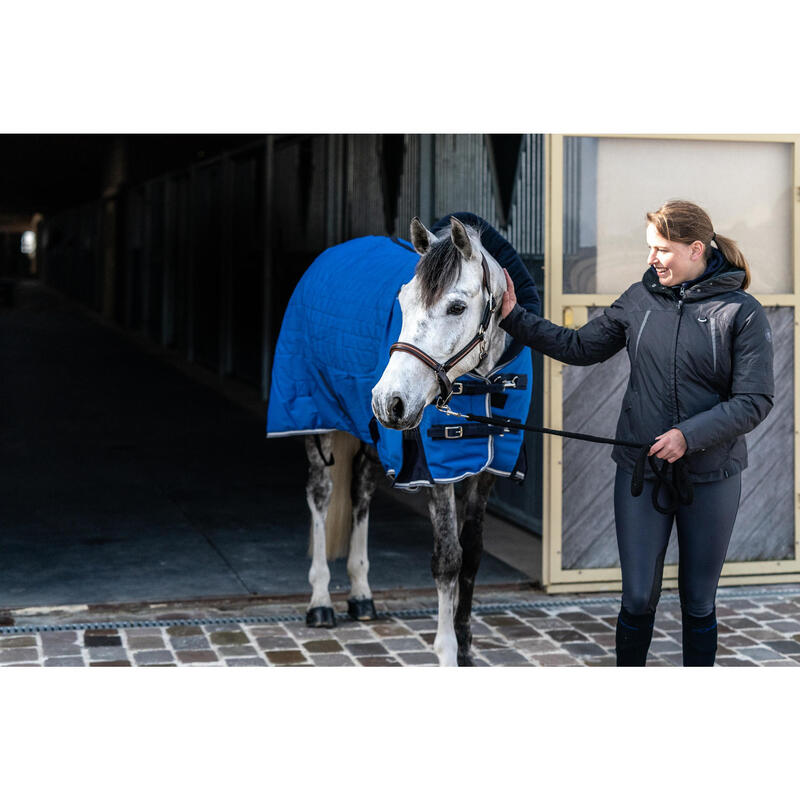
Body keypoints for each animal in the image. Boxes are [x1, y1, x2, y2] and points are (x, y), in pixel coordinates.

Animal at [266, 216, 536, 664]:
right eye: (403, 303)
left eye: (457, 307)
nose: (386, 400)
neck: (481, 386)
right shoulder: (436, 472)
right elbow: (448, 558)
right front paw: (446, 652)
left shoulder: (485, 470)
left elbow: (473, 553)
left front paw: (465, 647)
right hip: (319, 417)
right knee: (320, 495)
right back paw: (320, 601)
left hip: (374, 434)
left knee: (360, 492)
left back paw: (361, 594)